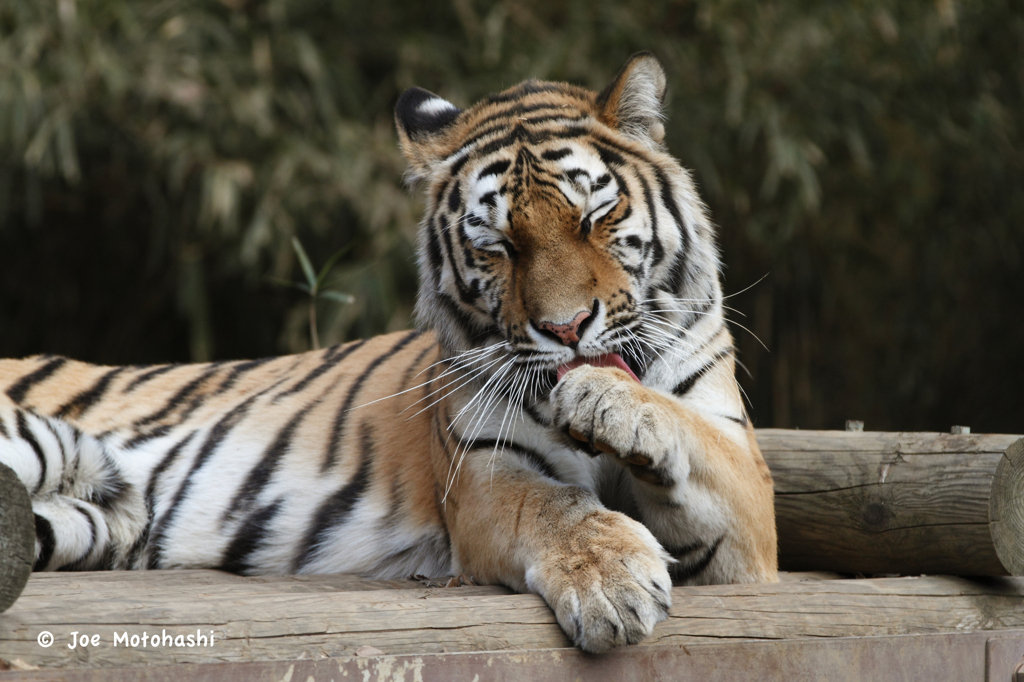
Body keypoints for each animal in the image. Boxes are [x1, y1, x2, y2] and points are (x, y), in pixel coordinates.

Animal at [0, 51, 774, 647]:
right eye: (500, 245)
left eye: (594, 217)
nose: (566, 329)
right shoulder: (485, 473)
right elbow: (555, 508)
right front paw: (611, 585)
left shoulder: (744, 507)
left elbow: (689, 435)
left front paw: (611, 401)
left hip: (90, 519)